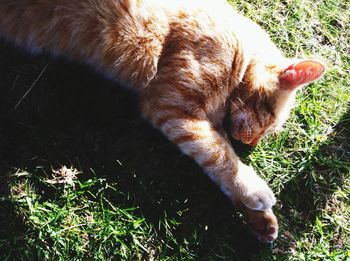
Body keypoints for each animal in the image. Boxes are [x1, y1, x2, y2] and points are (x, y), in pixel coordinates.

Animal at [0, 0, 326, 242]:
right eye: (270, 123)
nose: (252, 142)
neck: (239, 53)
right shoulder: (174, 110)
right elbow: (220, 157)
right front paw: (254, 191)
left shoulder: (200, 120)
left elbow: (221, 156)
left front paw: (260, 219)